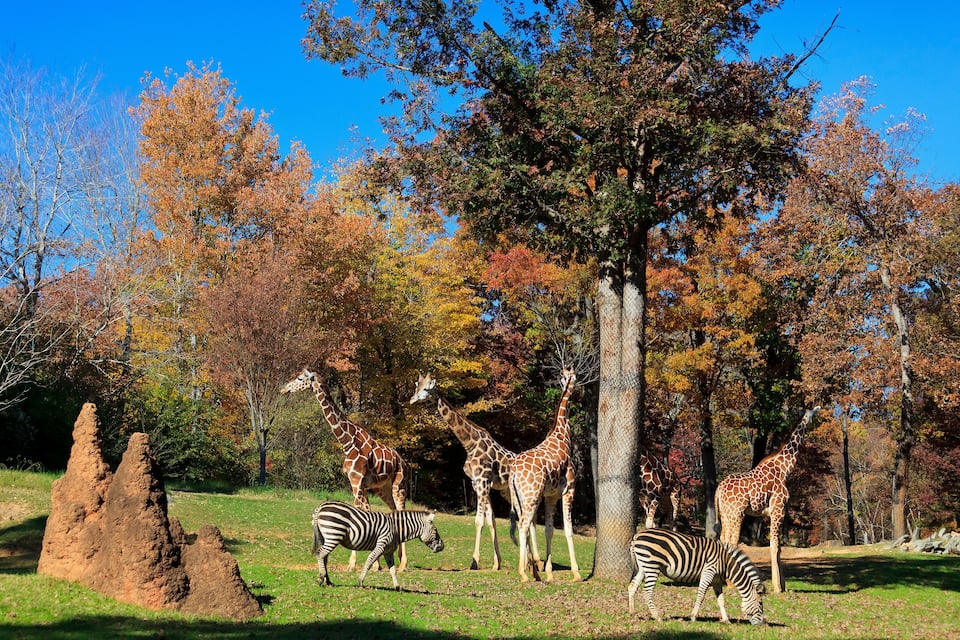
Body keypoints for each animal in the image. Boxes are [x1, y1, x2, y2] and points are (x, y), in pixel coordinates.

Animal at [311, 501, 444, 591]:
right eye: (436, 530)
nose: (442, 547)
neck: (396, 529)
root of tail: (321, 506)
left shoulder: (388, 551)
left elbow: (392, 570)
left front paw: (397, 587)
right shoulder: (380, 545)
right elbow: (369, 562)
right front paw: (360, 582)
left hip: (326, 537)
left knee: (324, 558)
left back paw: (328, 581)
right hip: (333, 534)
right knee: (320, 554)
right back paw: (321, 578)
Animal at [627, 528, 765, 625]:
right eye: (760, 604)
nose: (761, 624)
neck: (726, 563)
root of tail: (637, 535)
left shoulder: (716, 580)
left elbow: (721, 600)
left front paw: (726, 620)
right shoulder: (708, 572)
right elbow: (701, 595)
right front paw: (693, 617)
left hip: (643, 567)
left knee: (632, 587)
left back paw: (632, 613)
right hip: (652, 566)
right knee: (647, 591)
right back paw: (657, 617)